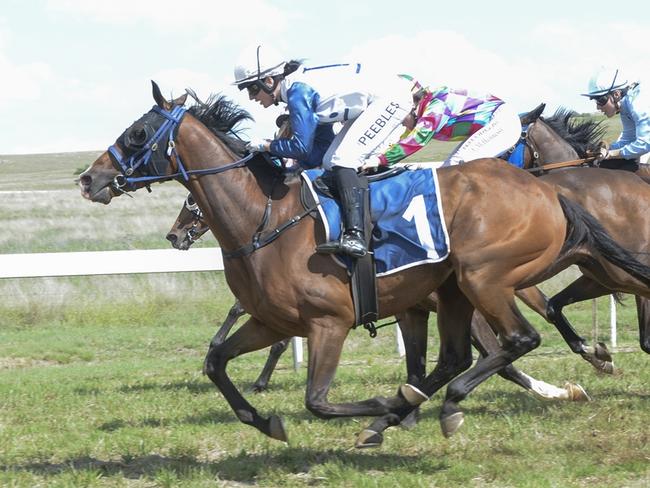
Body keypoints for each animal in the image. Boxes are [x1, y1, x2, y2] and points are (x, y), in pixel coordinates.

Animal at [77, 83, 650, 446]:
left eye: (137, 134)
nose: (88, 178)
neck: (264, 219)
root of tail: (547, 190)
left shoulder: (329, 322)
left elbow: (318, 400)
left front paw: (384, 408)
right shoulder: (270, 320)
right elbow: (216, 361)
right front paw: (264, 420)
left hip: (483, 278)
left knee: (515, 341)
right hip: (462, 290)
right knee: (462, 357)